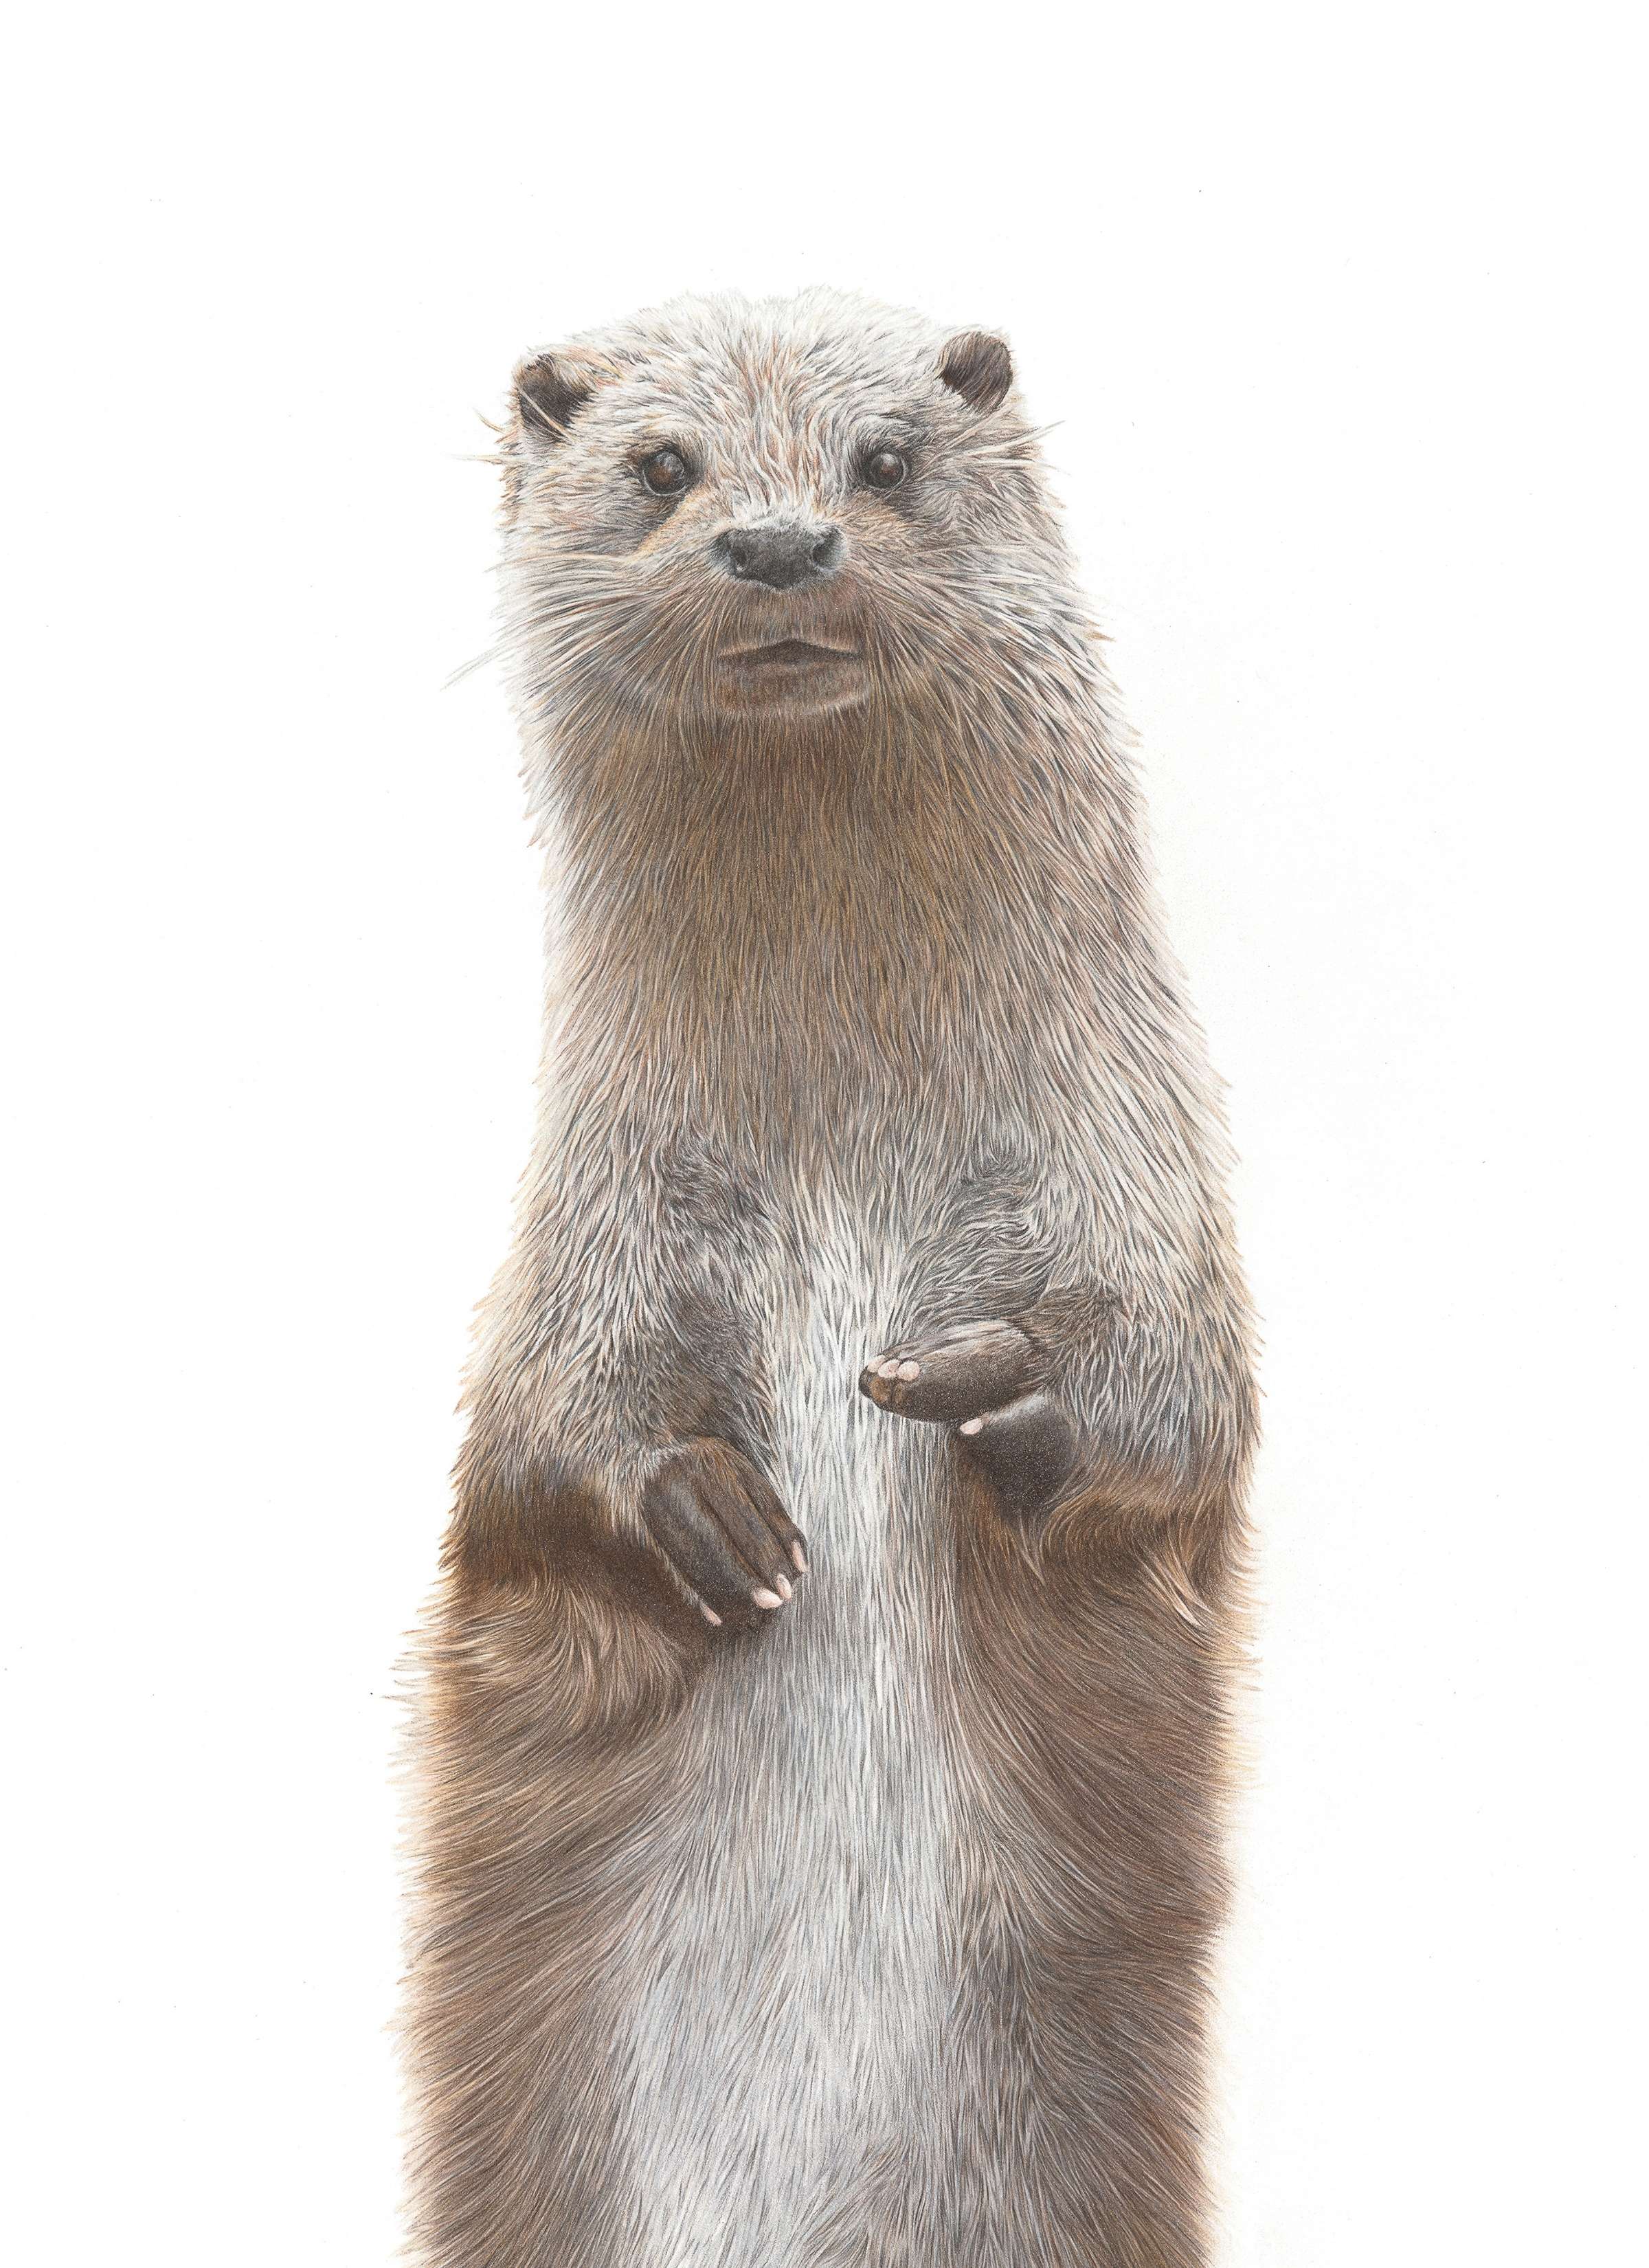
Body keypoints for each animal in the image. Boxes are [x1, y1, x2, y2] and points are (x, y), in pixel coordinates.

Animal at [403, 289, 1257, 2268]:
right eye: (660, 463)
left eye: (884, 457)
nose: (782, 543)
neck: (844, 1135)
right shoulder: (593, 1230)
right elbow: (544, 1444)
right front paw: (707, 1509)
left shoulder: (1137, 1174)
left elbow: (1172, 1404)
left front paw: (979, 1391)